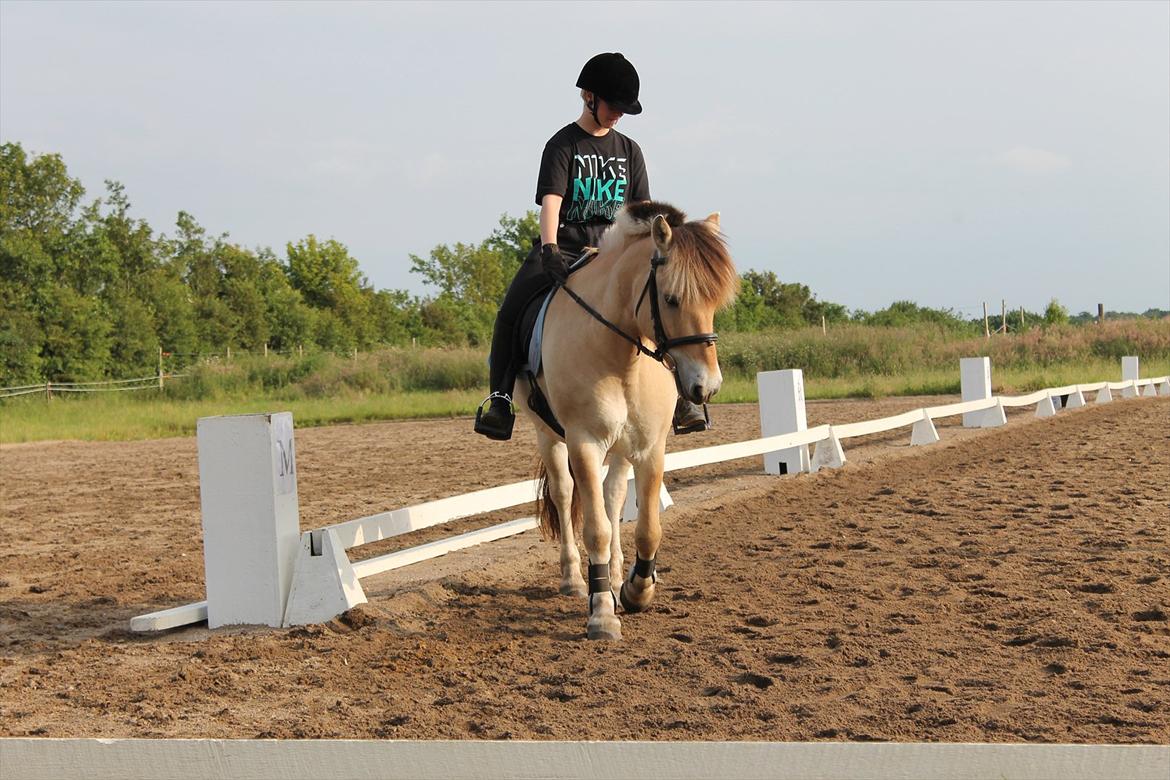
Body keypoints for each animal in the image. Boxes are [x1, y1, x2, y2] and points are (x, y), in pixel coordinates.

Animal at [514, 201, 734, 640]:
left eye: (714, 302)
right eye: (671, 299)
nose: (707, 387)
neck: (620, 354)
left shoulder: (650, 447)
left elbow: (647, 527)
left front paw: (636, 589)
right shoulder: (582, 442)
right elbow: (595, 527)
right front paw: (601, 612)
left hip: (620, 446)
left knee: (614, 496)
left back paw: (615, 576)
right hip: (549, 435)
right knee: (565, 495)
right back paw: (574, 579)